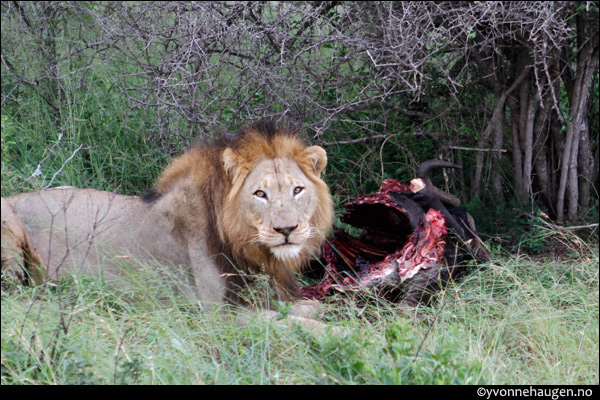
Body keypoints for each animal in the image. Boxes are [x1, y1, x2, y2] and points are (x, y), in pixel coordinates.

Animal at [0, 121, 336, 316]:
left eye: (297, 190)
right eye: (260, 194)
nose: (287, 229)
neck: (252, 249)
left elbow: (314, 308)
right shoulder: (218, 311)